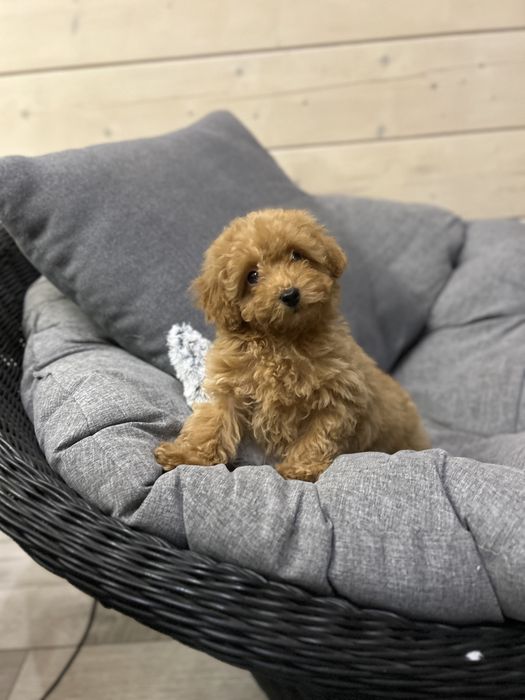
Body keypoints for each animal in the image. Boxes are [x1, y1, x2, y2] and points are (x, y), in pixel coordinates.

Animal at [155, 208, 430, 481]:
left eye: (296, 255)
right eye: (252, 276)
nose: (290, 294)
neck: (282, 340)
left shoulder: (338, 396)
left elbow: (319, 435)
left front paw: (300, 469)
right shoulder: (230, 387)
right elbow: (212, 423)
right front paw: (186, 455)